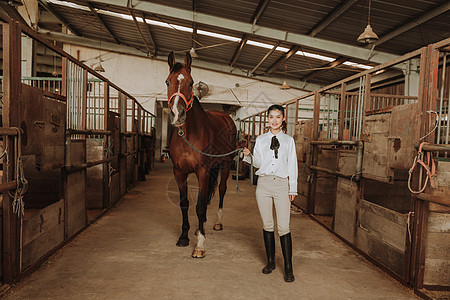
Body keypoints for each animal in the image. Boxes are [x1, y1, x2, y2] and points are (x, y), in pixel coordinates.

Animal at [167, 51, 237, 258]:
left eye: (191, 82)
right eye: (167, 81)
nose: (177, 114)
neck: (188, 135)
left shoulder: (203, 171)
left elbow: (199, 205)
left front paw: (199, 246)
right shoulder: (179, 172)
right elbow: (185, 203)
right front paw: (184, 236)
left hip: (225, 165)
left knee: (221, 190)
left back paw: (217, 223)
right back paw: (200, 228)